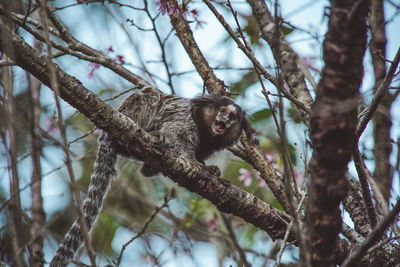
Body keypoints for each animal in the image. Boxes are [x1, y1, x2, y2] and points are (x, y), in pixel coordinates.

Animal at [50, 88, 255, 266]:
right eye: (222, 111)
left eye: (232, 117)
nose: (225, 119)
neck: (206, 130)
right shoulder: (185, 120)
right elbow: (176, 135)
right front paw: (192, 162)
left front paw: (210, 169)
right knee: (151, 95)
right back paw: (151, 134)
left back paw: (149, 167)